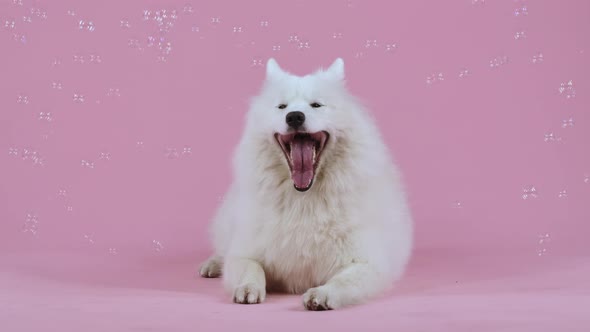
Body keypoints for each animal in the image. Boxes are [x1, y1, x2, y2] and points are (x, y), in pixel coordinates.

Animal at [201, 58, 414, 310]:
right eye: (282, 107)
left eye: (316, 105)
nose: (294, 116)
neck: (304, 199)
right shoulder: (244, 253)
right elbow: (251, 268)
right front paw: (248, 288)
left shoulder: (369, 264)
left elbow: (343, 281)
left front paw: (322, 294)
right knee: (222, 249)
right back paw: (212, 264)